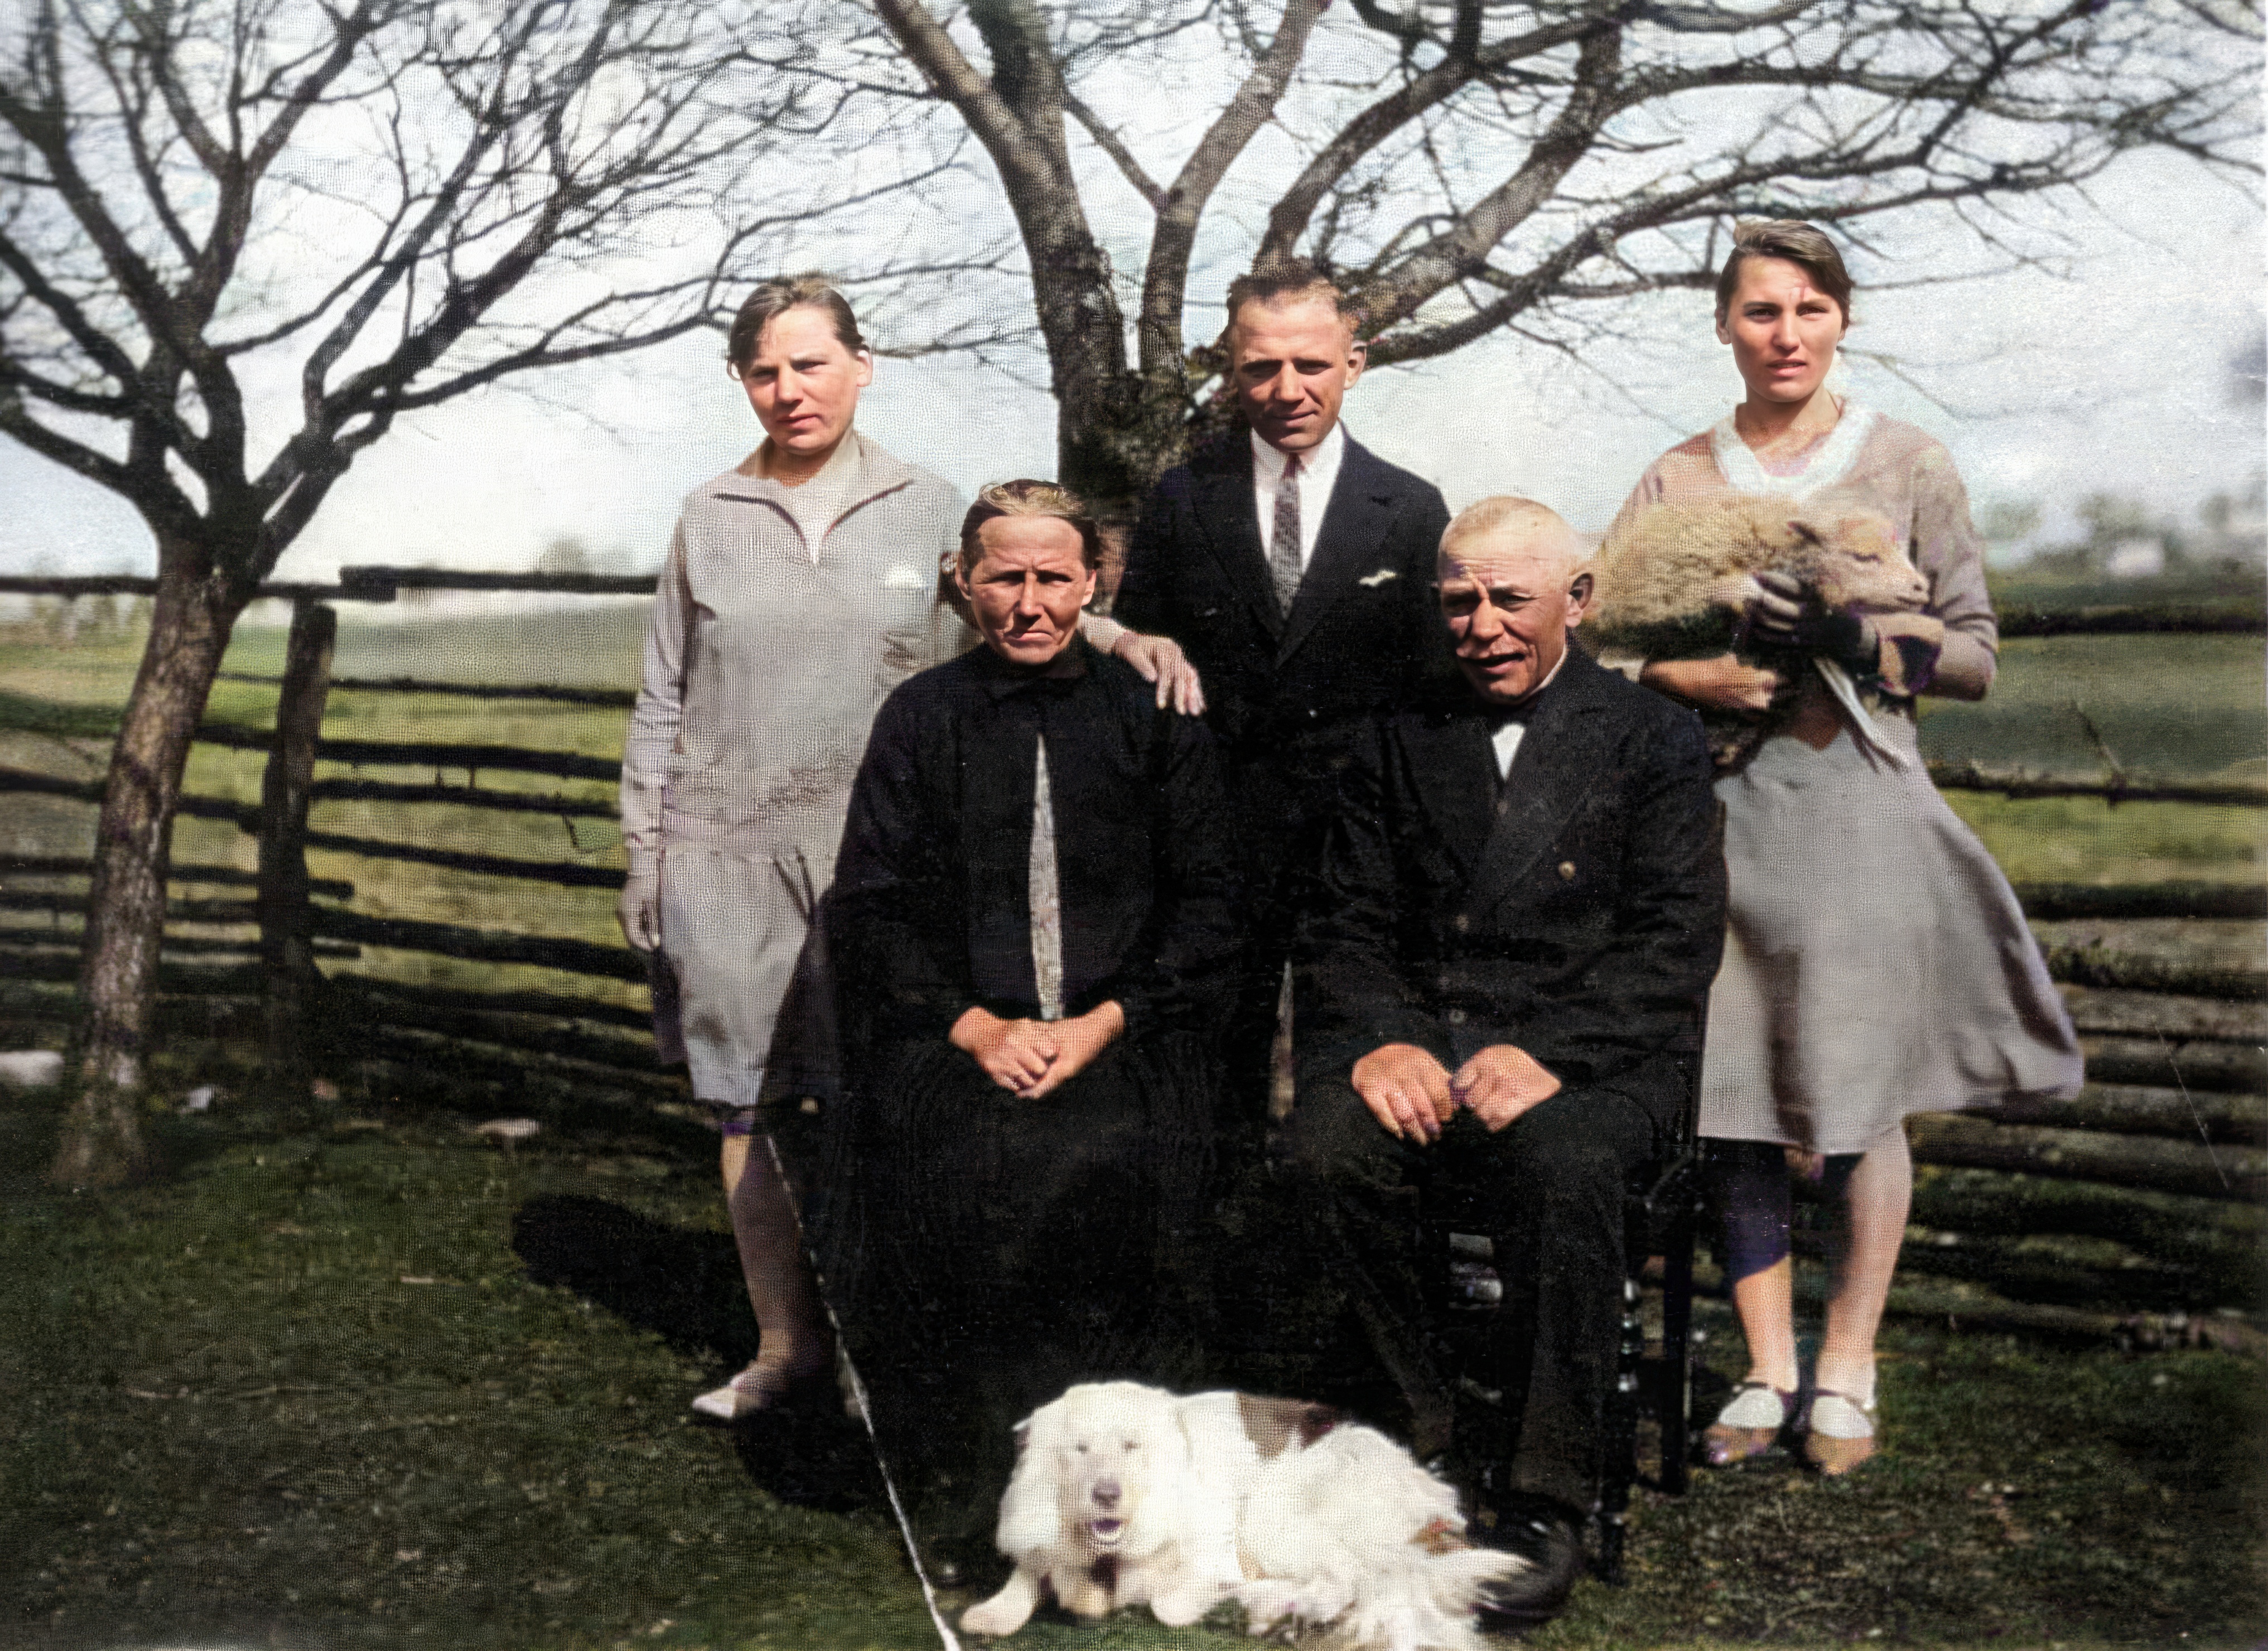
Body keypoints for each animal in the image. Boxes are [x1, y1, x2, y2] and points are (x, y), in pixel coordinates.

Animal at [957, 1379, 1524, 1651]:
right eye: (1080, 1449)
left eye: (1130, 1446)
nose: (1106, 1495)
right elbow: (1031, 1570)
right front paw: (998, 1610)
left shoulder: (1208, 1558)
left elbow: (1165, 1603)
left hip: (1278, 1514)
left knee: (1343, 1581)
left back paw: (1272, 1610)